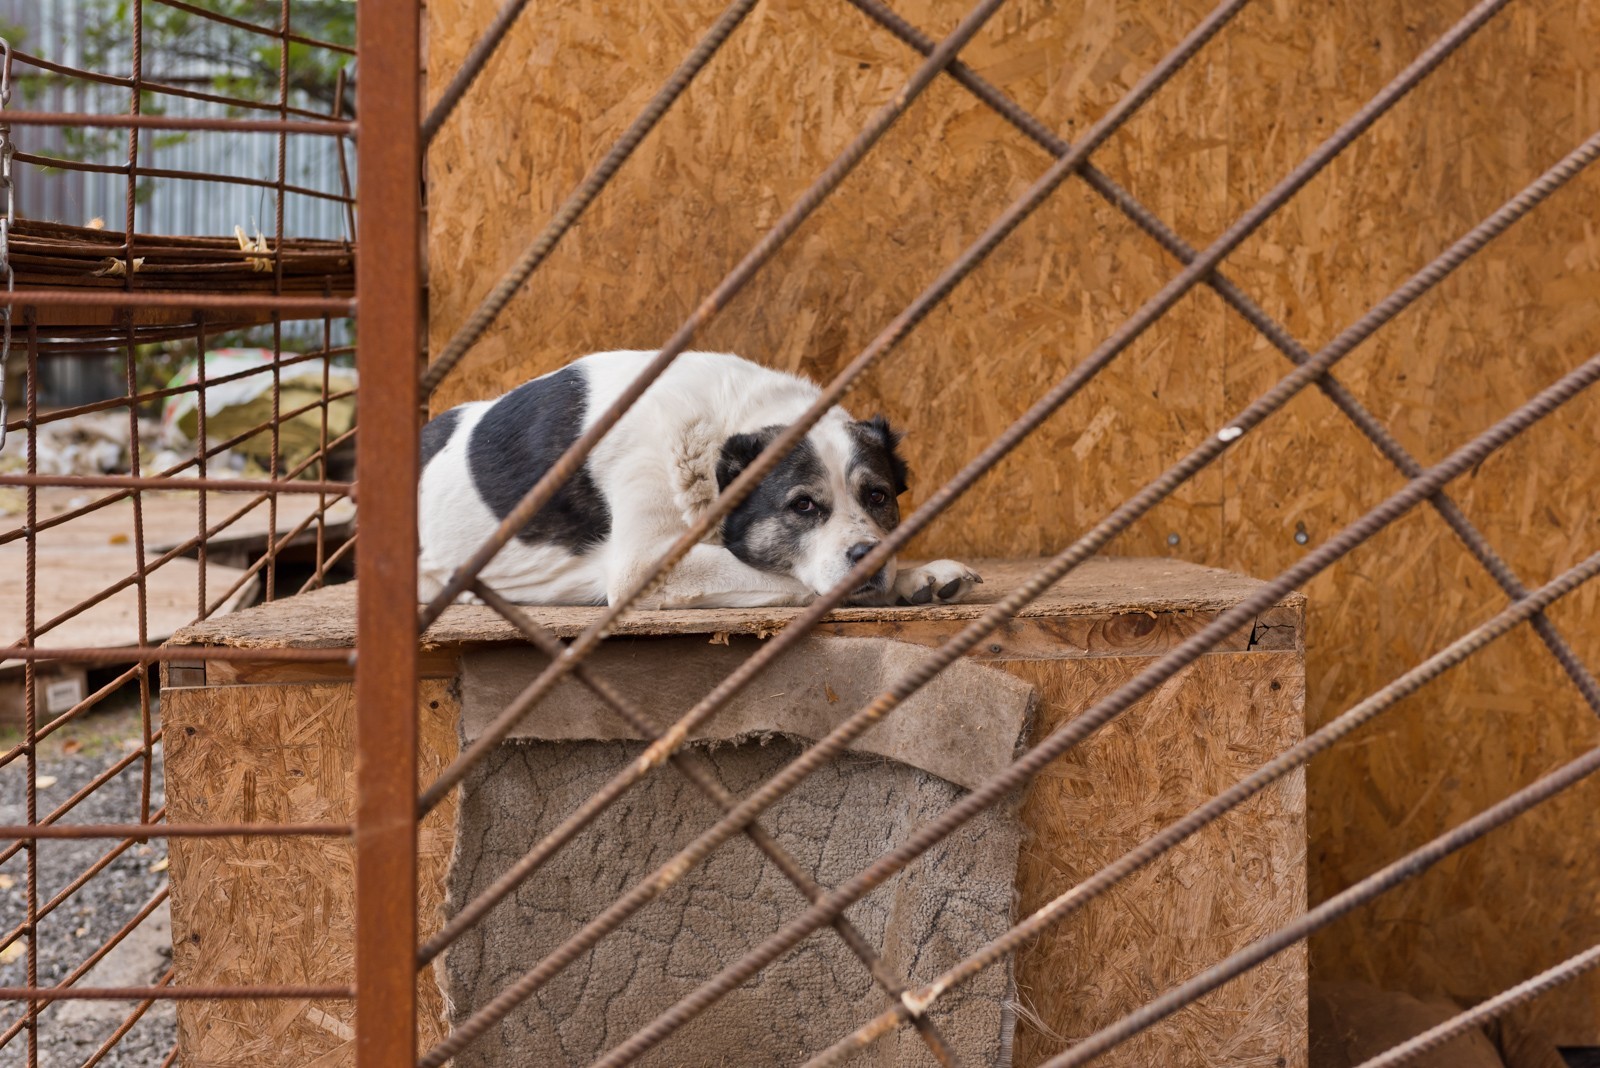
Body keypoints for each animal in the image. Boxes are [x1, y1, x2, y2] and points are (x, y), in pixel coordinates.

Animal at [419, 350, 979, 607]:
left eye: (877, 496)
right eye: (803, 505)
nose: (870, 558)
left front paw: (917, 576)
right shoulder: (645, 565)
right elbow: (780, 575)